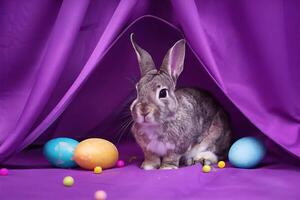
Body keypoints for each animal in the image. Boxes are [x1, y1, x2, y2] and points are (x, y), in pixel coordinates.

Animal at [129, 33, 232, 170]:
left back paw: (201, 159)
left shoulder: (179, 146)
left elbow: (171, 157)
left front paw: (167, 168)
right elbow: (151, 157)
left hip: (216, 135)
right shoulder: (148, 149)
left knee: (218, 153)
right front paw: (148, 167)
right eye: (137, 90)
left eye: (163, 93)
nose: (143, 111)